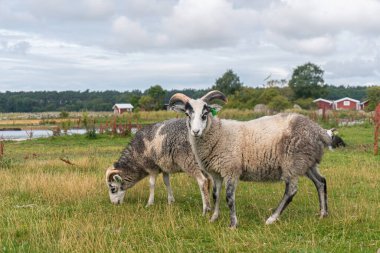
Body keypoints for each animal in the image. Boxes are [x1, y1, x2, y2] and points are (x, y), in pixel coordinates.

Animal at [171, 90, 332, 227]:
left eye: (205, 114)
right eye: (187, 114)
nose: (195, 131)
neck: (218, 133)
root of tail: (318, 129)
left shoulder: (231, 170)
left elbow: (229, 197)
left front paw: (233, 224)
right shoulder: (216, 172)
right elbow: (215, 195)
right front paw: (213, 218)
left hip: (292, 163)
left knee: (291, 191)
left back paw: (272, 218)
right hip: (307, 162)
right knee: (321, 182)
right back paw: (323, 214)